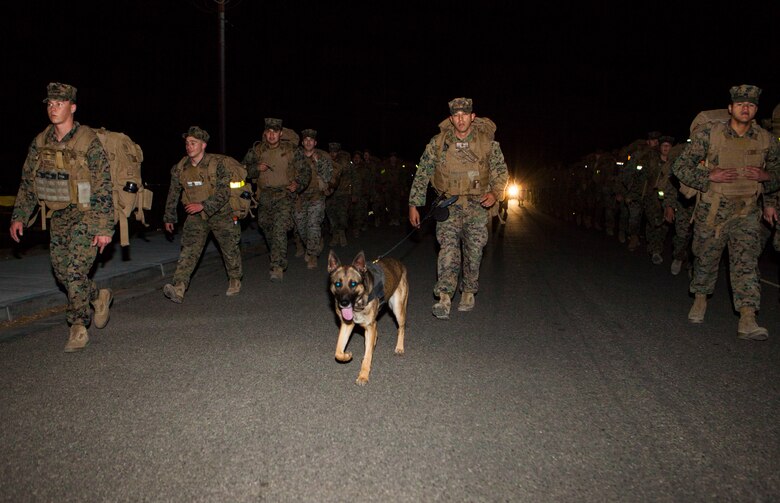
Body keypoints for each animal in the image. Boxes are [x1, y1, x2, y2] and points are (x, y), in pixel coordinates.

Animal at [326, 251, 408, 386]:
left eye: (353, 284)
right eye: (338, 284)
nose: (344, 303)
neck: (358, 303)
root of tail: (398, 262)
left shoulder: (370, 326)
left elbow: (368, 355)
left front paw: (363, 376)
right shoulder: (347, 325)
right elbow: (338, 352)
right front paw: (346, 356)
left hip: (397, 308)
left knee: (401, 328)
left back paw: (400, 347)